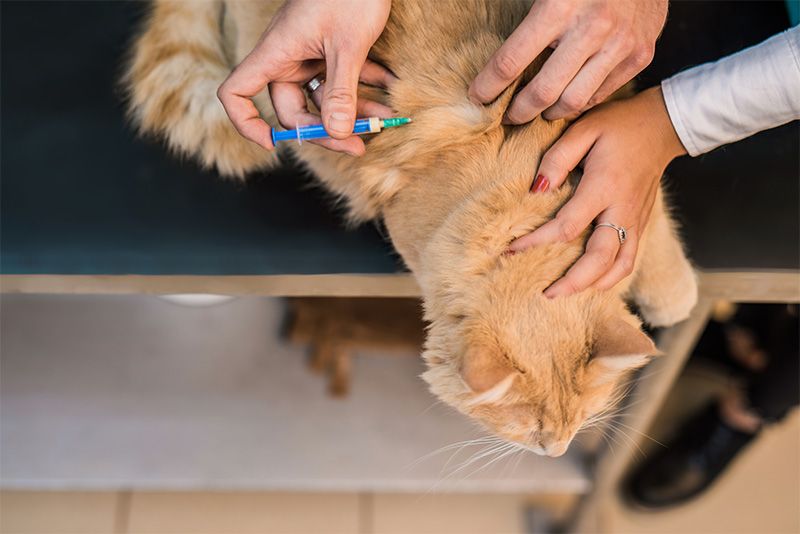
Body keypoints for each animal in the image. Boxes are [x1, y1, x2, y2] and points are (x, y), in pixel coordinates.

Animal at [125, 0, 692, 460]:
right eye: (528, 427)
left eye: (581, 416)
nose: (557, 451)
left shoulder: (608, 138)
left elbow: (654, 222)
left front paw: (673, 294)